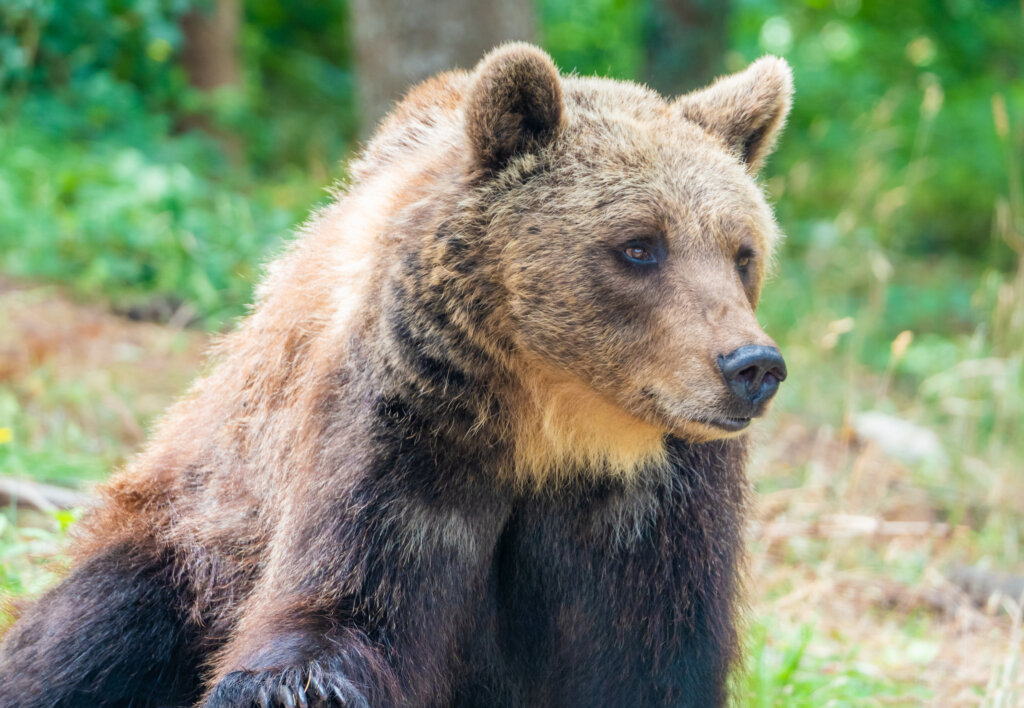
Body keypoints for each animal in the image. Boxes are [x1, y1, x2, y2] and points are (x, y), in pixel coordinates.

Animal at [0, 44, 790, 708]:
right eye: (639, 245)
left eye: (742, 251)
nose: (752, 366)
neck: (553, 423)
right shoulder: (406, 431)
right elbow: (345, 610)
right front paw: (288, 689)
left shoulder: (655, 502)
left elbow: (647, 655)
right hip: (192, 531)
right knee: (94, 632)